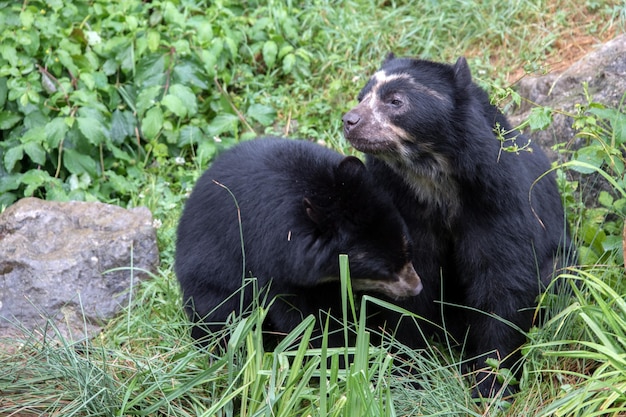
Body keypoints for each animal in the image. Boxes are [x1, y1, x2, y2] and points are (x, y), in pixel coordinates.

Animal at [173, 137, 422, 348]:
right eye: (385, 270)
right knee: (219, 315)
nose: (416, 287)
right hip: (211, 282)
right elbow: (300, 315)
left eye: (408, 250)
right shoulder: (274, 260)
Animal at [342, 56, 572, 396]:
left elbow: (502, 281)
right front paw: (409, 370)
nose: (350, 120)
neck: (432, 178)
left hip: (560, 266)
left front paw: (491, 383)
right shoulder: (402, 204)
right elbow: (409, 281)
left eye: (396, 101)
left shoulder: (498, 201)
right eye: (361, 96)